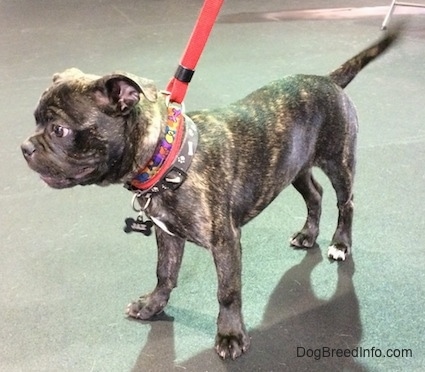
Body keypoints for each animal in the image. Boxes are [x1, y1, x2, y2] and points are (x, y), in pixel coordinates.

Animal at [21, 29, 400, 360]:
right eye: (35, 120)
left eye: (59, 129)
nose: (24, 147)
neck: (167, 155)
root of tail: (328, 80)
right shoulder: (168, 235)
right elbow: (164, 273)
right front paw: (152, 305)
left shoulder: (225, 242)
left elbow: (227, 292)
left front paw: (230, 335)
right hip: (294, 168)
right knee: (315, 195)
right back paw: (308, 234)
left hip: (339, 162)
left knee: (345, 202)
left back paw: (340, 243)